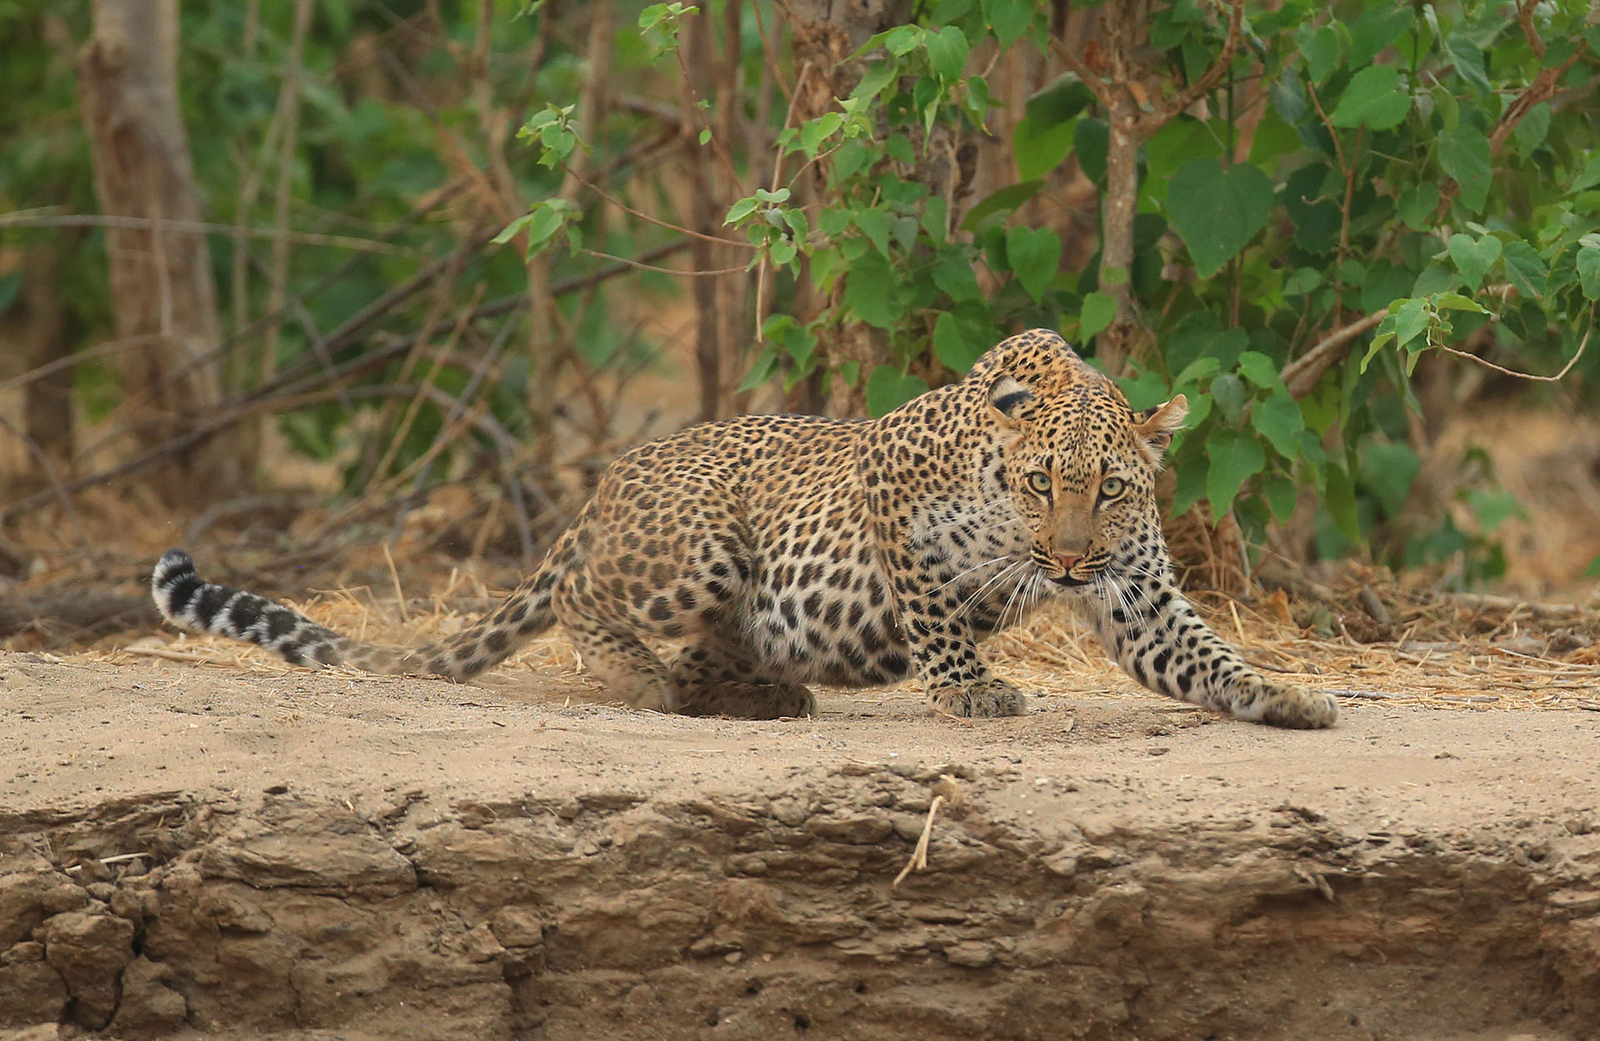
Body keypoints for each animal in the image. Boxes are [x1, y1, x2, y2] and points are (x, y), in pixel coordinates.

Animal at [151, 328, 1338, 728]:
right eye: (1043, 483)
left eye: (1114, 491)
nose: (1068, 559)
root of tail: (607, 486)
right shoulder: (890, 496)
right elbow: (936, 615)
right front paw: (971, 692)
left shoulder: (1138, 594)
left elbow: (1200, 654)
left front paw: (1285, 696)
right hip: (697, 546)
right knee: (583, 600)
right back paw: (642, 675)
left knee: (709, 655)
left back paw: (754, 694)